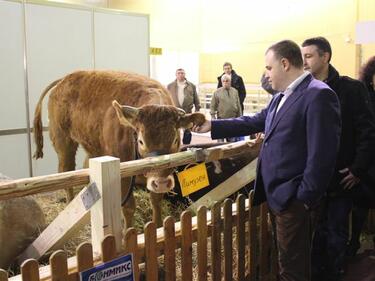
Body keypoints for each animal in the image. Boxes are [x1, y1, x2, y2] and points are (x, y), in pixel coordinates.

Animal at [33, 70, 206, 228]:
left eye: (176, 139)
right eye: (141, 141)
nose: (162, 183)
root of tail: (65, 79)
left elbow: (156, 201)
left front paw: (158, 228)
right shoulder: (123, 176)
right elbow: (129, 207)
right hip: (63, 140)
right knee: (66, 170)